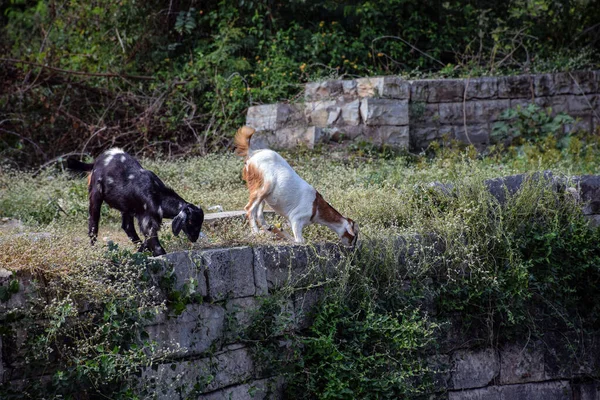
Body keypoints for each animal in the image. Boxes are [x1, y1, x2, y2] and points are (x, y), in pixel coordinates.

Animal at [67, 148, 204, 256]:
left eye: (200, 222)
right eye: (190, 221)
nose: (194, 238)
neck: (158, 195)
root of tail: (97, 161)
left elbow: (146, 241)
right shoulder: (147, 221)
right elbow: (156, 246)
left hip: (127, 207)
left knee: (127, 227)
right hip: (95, 196)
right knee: (93, 225)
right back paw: (94, 250)